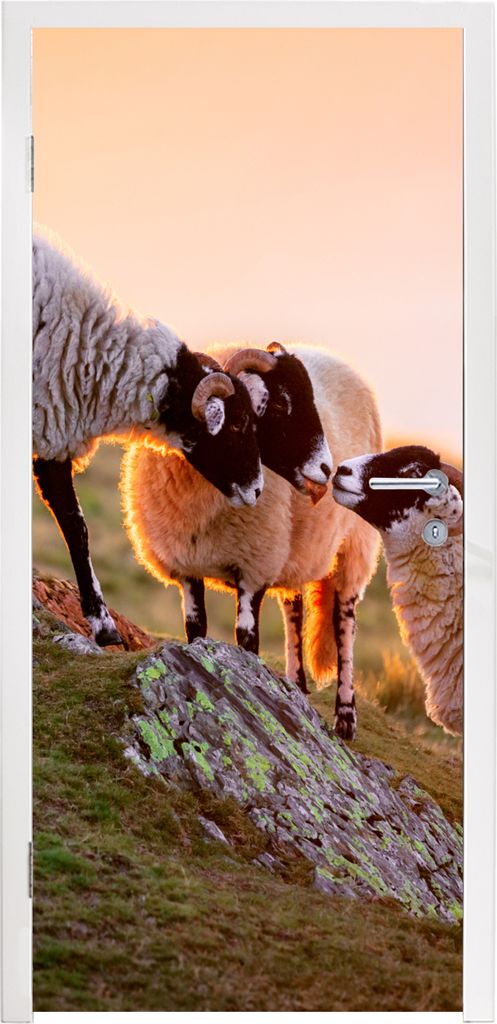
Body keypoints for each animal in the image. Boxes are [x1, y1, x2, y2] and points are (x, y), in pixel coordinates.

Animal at [32, 231, 263, 646]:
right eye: (237, 424)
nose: (257, 490)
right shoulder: (50, 432)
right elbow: (77, 527)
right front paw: (104, 627)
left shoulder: (51, 431)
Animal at [121, 343, 381, 739]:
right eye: (280, 406)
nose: (327, 469)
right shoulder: (187, 567)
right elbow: (196, 629)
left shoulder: (254, 566)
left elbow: (246, 638)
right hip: (295, 550)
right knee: (294, 613)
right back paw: (297, 686)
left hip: (355, 546)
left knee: (344, 623)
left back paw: (345, 717)